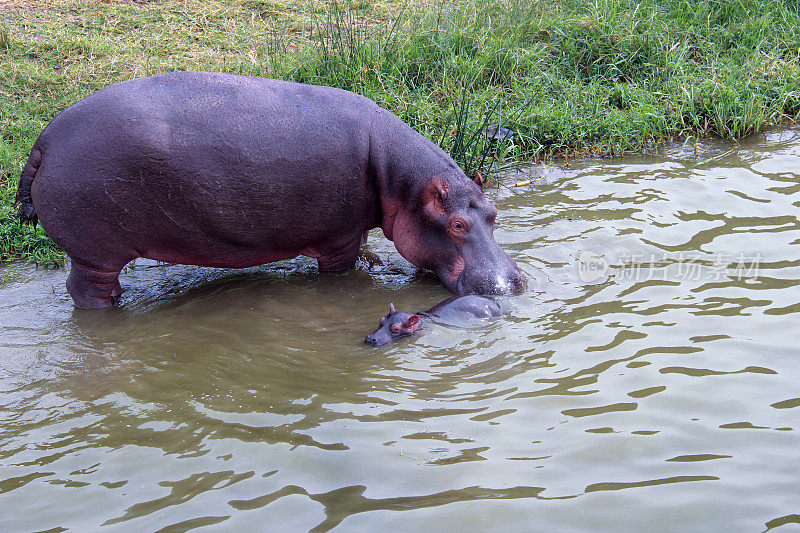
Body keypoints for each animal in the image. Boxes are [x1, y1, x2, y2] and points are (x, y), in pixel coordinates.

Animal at [15, 72, 524, 310]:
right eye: (456, 224)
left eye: (494, 215)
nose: (514, 282)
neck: (398, 180)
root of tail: (44, 140)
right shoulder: (338, 237)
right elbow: (341, 268)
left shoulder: (356, 228)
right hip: (94, 252)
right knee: (86, 290)